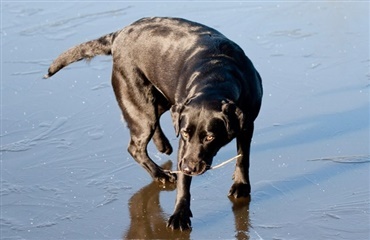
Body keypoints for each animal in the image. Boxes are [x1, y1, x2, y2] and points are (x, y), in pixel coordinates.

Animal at [44, 16, 264, 231]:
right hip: (140, 106)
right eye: (186, 133)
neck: (216, 76)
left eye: (210, 137)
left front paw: (241, 185)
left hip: (161, 100)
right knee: (136, 146)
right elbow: (184, 183)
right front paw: (180, 214)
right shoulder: (184, 143)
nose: (188, 168)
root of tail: (118, 34)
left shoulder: (247, 124)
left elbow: (243, 157)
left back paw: (163, 145)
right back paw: (161, 174)